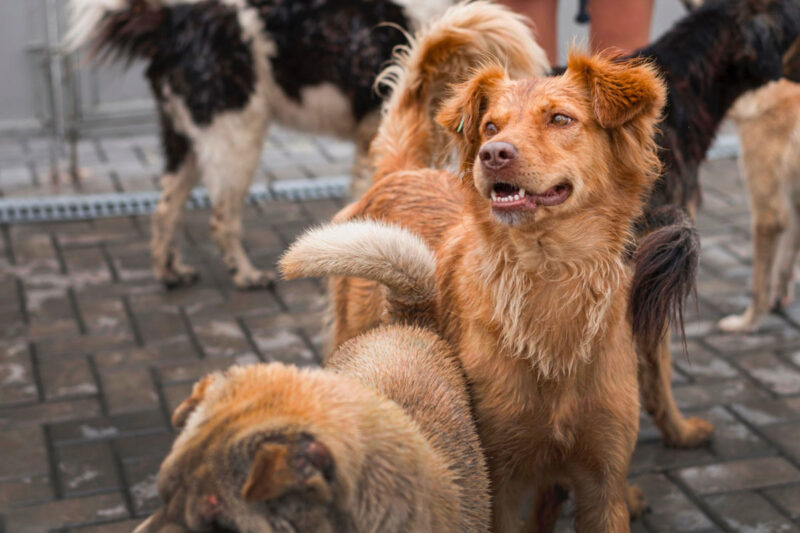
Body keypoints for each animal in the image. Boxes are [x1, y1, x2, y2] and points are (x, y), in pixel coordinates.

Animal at [69, 0, 552, 288]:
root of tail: (174, 20)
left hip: (185, 138)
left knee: (165, 208)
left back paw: (170, 272)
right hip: (235, 136)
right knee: (221, 217)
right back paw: (245, 274)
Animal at [306, 8, 676, 524]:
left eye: (561, 119)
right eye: (490, 127)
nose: (494, 154)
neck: (548, 275)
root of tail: (402, 171)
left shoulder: (603, 481)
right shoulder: (495, 480)